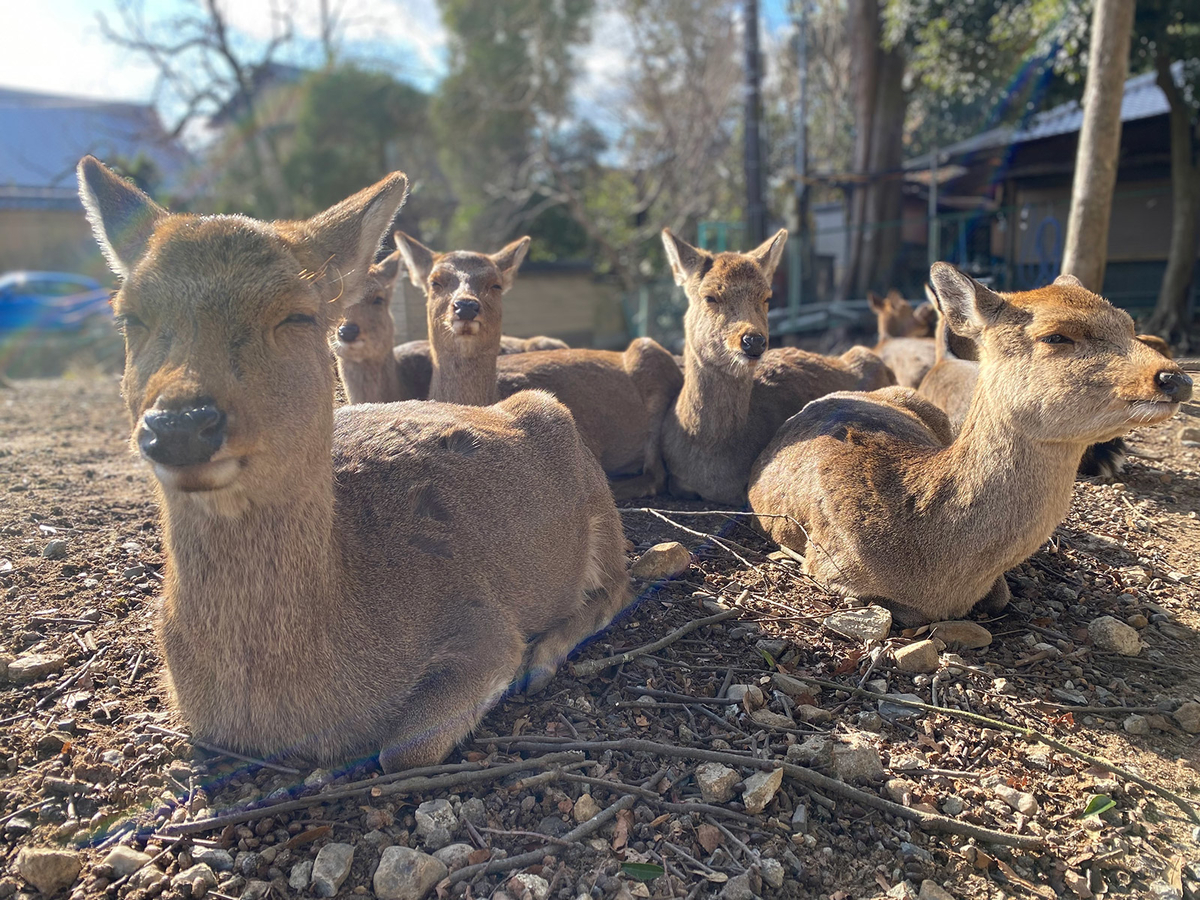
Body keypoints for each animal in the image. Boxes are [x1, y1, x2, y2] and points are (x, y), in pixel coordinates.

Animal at [77, 157, 638, 777]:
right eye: (128, 316)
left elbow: (403, 746)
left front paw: (520, 666)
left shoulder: (482, 622)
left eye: (298, 314)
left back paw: (546, 656)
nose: (180, 425)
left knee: (624, 582)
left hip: (596, 500)